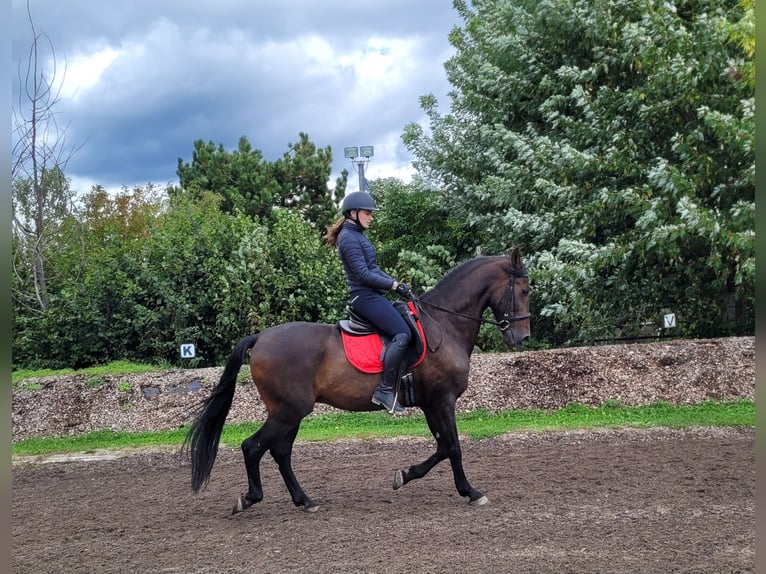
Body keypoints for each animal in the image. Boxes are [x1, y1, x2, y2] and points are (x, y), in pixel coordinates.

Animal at [185, 250, 532, 516]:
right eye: (525, 291)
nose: (522, 337)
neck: (443, 324)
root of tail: (261, 338)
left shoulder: (431, 403)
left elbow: (443, 446)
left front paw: (404, 475)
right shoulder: (442, 400)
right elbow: (454, 447)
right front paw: (471, 492)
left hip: (288, 413)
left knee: (280, 452)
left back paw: (304, 500)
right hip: (288, 411)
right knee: (253, 447)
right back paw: (249, 498)